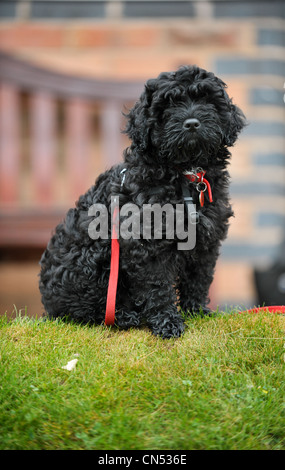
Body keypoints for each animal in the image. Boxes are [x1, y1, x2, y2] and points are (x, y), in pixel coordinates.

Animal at [38, 65, 245, 338]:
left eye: (206, 100)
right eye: (168, 105)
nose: (191, 123)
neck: (184, 172)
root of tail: (48, 302)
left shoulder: (205, 240)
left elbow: (198, 278)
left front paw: (197, 311)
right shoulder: (147, 242)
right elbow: (158, 286)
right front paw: (168, 323)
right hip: (92, 258)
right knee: (86, 310)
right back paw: (124, 316)